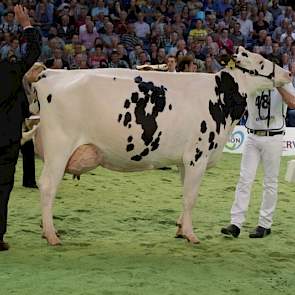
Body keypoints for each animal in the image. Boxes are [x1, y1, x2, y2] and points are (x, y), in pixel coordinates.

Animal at [24, 47, 292, 246]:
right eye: (260, 61)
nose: (289, 73)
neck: (220, 98)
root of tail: (51, 73)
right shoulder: (198, 155)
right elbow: (191, 197)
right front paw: (192, 235)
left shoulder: (185, 160)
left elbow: (185, 194)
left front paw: (181, 229)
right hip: (59, 148)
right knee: (47, 186)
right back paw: (51, 235)